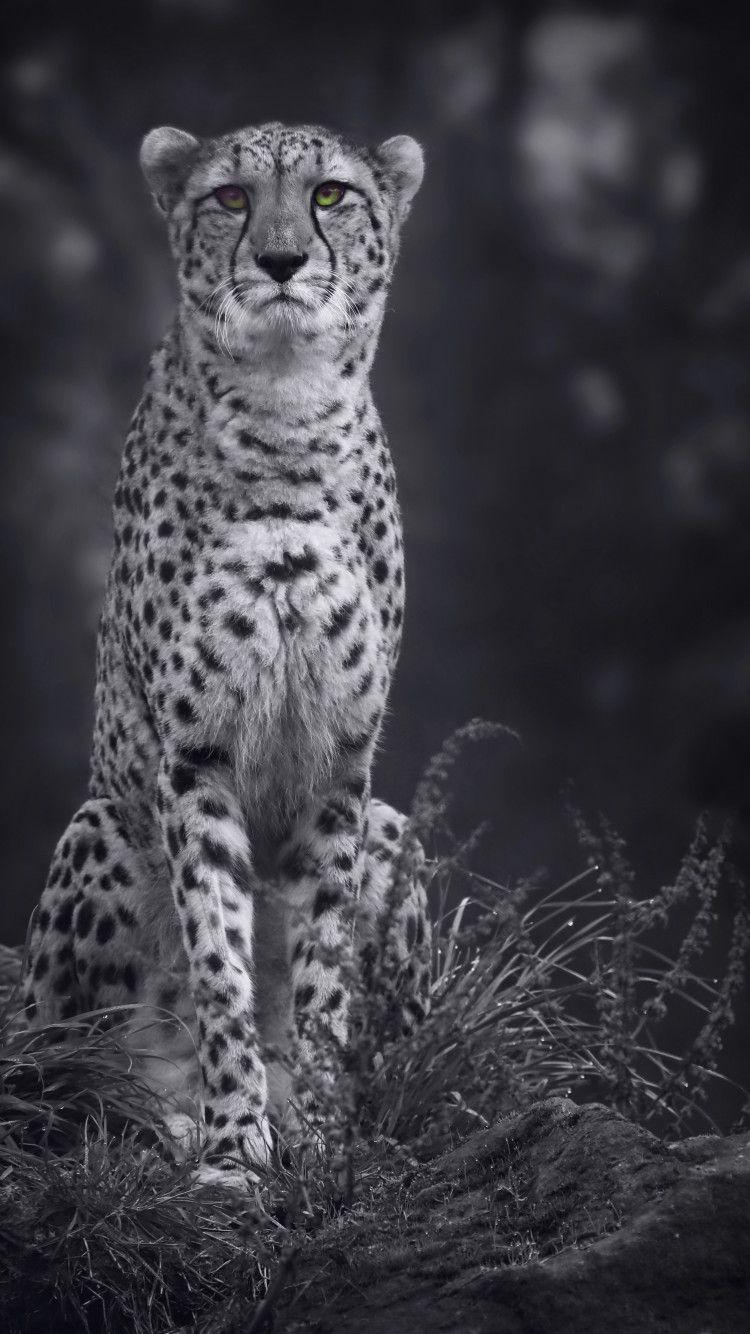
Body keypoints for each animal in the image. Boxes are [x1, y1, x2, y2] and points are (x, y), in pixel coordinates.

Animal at [22, 119, 431, 1181]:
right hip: (101, 831)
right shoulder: (193, 757)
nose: (281, 260)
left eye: (330, 195)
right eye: (231, 198)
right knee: (59, 1081)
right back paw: (163, 1117)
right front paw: (235, 1148)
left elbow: (321, 973)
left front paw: (318, 1132)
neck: (286, 414)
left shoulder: (341, 764)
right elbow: (218, 960)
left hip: (394, 829)